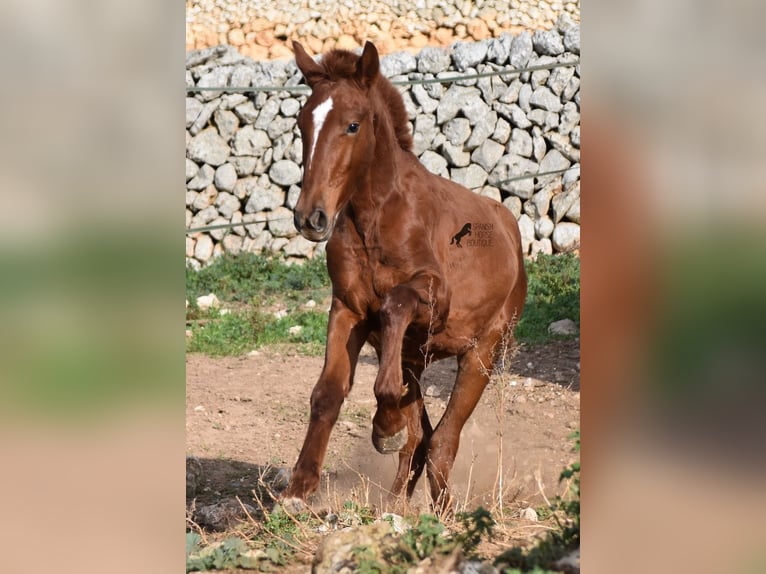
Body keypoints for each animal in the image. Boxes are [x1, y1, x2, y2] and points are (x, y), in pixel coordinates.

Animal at [282, 41, 528, 512]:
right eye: (302, 123)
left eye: (352, 125)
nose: (310, 217)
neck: (375, 220)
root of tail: (508, 226)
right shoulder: (348, 310)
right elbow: (328, 393)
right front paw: (297, 490)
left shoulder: (431, 300)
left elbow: (394, 306)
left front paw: (384, 428)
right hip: (416, 358)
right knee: (421, 439)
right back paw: (397, 504)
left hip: (481, 353)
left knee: (442, 441)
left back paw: (443, 512)